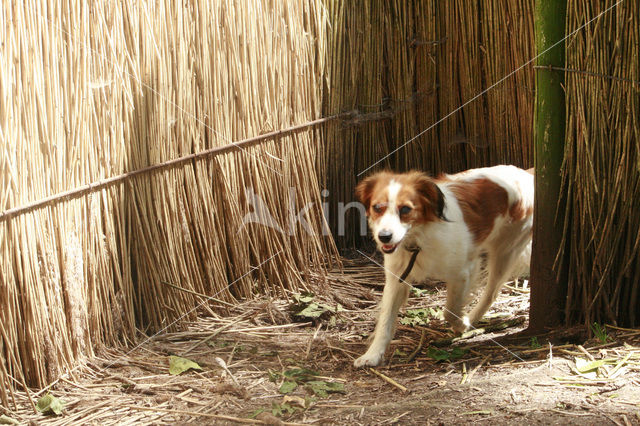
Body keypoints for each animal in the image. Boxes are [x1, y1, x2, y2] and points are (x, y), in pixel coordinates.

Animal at [352, 166, 532, 366]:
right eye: (377, 208)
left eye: (405, 209)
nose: (384, 237)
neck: (418, 239)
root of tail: (526, 174)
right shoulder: (396, 279)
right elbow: (386, 320)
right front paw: (373, 354)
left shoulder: (463, 272)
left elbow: (450, 311)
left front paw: (461, 324)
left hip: (505, 252)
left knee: (491, 293)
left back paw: (471, 320)